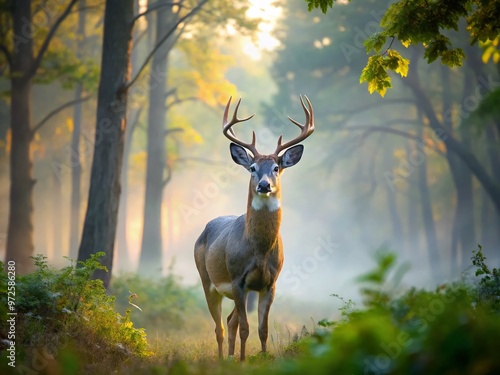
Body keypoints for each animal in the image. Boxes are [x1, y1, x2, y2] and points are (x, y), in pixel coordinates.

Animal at [194, 94, 314, 362]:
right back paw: (222, 358)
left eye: (276, 168)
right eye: (252, 168)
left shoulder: (270, 282)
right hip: (207, 279)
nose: (264, 185)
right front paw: (242, 361)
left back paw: (229, 357)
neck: (259, 250)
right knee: (219, 326)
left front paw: (260, 357)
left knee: (230, 322)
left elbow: (262, 328)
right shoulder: (238, 279)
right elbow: (246, 329)